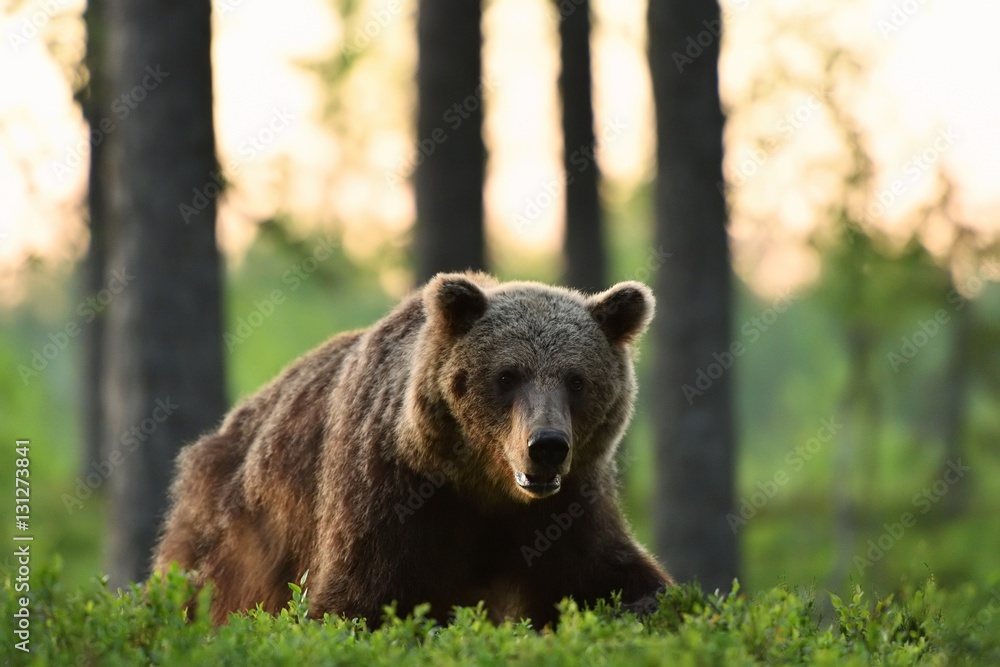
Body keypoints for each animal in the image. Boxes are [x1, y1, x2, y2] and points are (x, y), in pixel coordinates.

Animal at [153, 272, 671, 627]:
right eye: (507, 375)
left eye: (576, 380)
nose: (545, 445)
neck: (483, 486)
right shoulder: (389, 493)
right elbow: (355, 603)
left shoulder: (567, 509)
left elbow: (614, 578)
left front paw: (648, 605)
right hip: (236, 534)